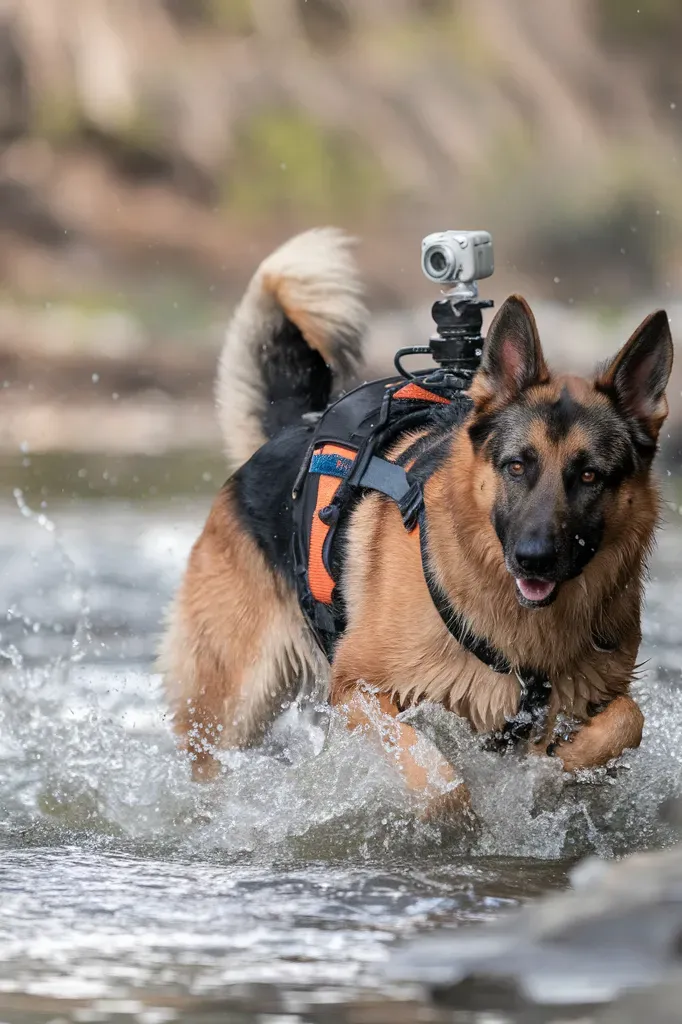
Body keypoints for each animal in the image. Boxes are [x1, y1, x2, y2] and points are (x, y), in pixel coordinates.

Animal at [160, 228, 675, 811]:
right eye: (516, 466)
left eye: (589, 476)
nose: (534, 560)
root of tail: (293, 429)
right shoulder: (359, 689)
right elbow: (439, 776)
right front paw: (458, 818)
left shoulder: (599, 692)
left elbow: (628, 719)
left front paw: (562, 767)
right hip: (231, 711)